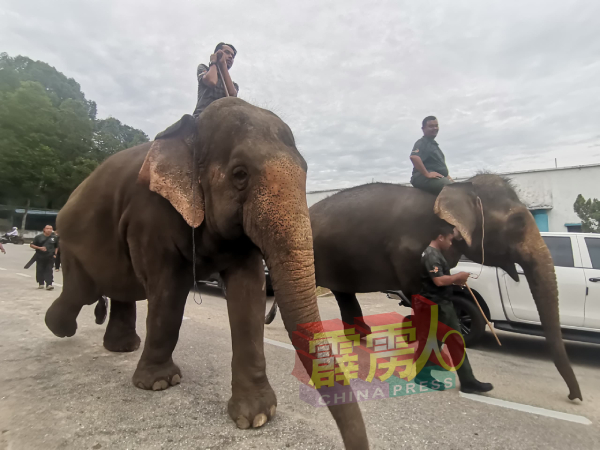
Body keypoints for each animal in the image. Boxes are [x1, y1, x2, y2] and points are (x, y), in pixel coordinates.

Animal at [43, 96, 366, 448]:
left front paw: (257, 417)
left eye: (306, 172)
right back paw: (60, 327)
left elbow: (249, 292)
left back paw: (121, 347)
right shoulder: (150, 216)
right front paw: (160, 384)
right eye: (240, 173)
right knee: (83, 290)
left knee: (118, 290)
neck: (192, 132)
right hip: (71, 244)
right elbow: (169, 290)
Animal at [266, 176, 580, 400]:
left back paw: (360, 337)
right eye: (516, 223)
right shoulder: (409, 252)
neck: (456, 188)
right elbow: (422, 300)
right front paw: (427, 361)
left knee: (343, 291)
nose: (573, 396)